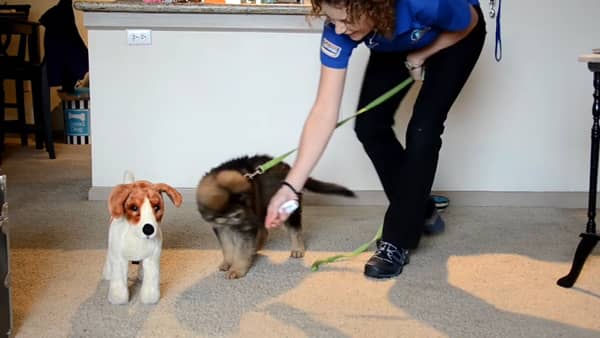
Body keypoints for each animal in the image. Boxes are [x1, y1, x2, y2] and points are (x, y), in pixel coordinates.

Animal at [102, 173, 182, 304]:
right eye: (134, 207)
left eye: (156, 207)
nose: (148, 229)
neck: (137, 237)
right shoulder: (119, 260)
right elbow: (119, 279)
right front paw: (118, 298)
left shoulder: (151, 259)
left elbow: (151, 279)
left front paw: (150, 298)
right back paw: (107, 274)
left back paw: (141, 275)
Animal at [197, 154, 356, 278]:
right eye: (237, 215)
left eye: (248, 204)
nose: (254, 222)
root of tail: (288, 167)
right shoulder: (220, 228)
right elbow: (227, 246)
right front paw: (228, 262)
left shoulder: (245, 229)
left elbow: (241, 250)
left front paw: (238, 269)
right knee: (265, 231)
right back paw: (256, 246)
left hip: (285, 208)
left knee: (295, 230)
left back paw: (297, 248)